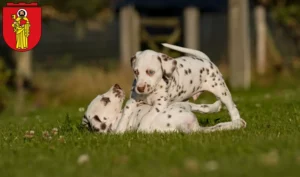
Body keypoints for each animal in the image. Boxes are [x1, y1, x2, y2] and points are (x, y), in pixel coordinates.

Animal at [115, 44, 246, 133]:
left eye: (150, 72)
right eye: (136, 72)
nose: (140, 88)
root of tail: (206, 60)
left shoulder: (159, 104)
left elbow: (147, 116)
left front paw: (142, 129)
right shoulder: (132, 101)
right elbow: (125, 114)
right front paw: (119, 130)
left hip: (221, 90)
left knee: (232, 108)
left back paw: (236, 122)